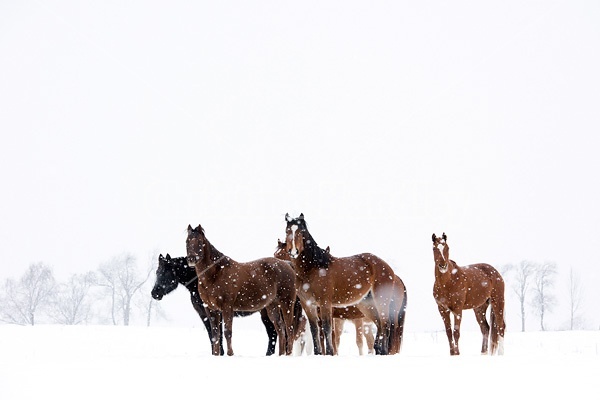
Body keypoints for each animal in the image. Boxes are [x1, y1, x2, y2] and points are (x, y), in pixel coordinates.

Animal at [183, 225, 296, 356]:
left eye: (200, 241)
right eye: (187, 241)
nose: (191, 259)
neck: (215, 274)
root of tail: (288, 265)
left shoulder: (227, 307)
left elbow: (227, 332)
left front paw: (230, 354)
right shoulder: (211, 309)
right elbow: (215, 335)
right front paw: (216, 354)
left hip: (286, 303)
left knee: (289, 328)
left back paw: (288, 354)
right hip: (272, 306)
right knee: (280, 328)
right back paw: (281, 354)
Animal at [284, 214, 408, 354]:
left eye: (301, 232)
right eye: (287, 231)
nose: (293, 251)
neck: (313, 268)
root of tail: (390, 270)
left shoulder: (325, 303)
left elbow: (327, 328)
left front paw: (330, 353)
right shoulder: (308, 304)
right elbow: (314, 329)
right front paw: (318, 353)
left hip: (382, 302)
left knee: (385, 325)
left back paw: (383, 351)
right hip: (367, 306)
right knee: (380, 325)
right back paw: (379, 350)